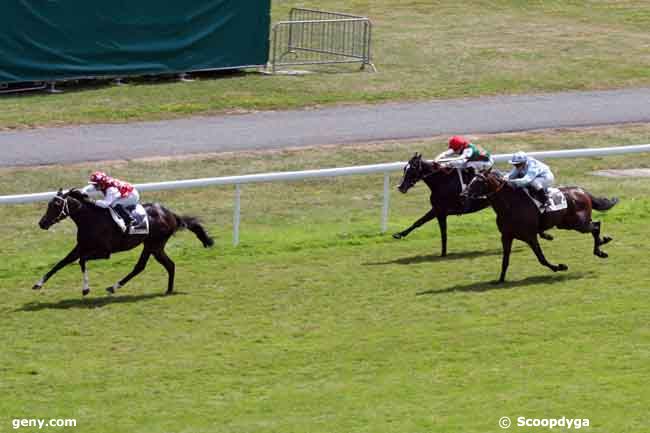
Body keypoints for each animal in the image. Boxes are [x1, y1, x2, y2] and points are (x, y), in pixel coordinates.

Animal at [34, 187, 213, 296]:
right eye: (49, 204)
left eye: (56, 204)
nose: (42, 223)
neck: (91, 219)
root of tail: (171, 214)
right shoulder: (81, 246)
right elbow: (61, 263)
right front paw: (38, 284)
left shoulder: (104, 252)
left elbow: (82, 260)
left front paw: (85, 289)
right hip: (155, 246)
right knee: (167, 265)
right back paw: (168, 290)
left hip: (153, 244)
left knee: (142, 266)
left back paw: (114, 287)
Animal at [464, 170, 616, 282]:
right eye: (471, 179)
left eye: (479, 181)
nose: (464, 194)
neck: (510, 205)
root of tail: (582, 191)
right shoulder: (506, 236)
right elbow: (505, 260)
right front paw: (500, 279)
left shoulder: (530, 236)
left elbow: (541, 258)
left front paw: (559, 267)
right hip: (567, 224)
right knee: (595, 225)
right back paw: (602, 244)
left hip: (578, 224)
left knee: (596, 226)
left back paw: (600, 249)